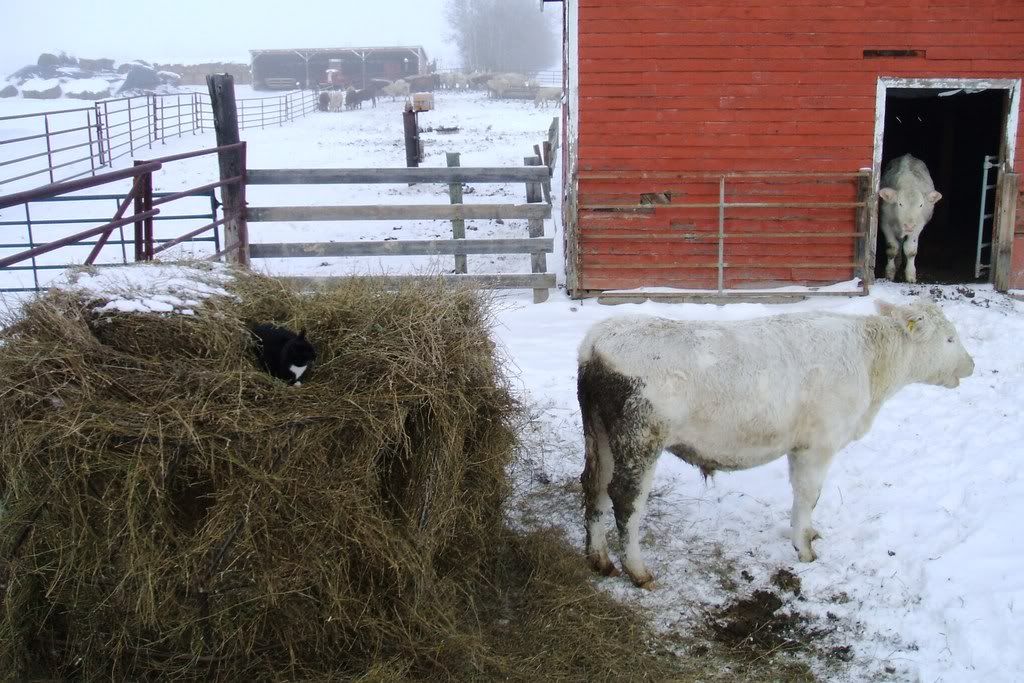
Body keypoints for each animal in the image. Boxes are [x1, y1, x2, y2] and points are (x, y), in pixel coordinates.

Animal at [581, 301, 970, 589]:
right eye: (950, 339)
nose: (971, 365)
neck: (871, 366)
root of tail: (596, 343)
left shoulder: (798, 445)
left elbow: (803, 495)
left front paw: (807, 533)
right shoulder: (818, 444)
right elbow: (809, 494)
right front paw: (804, 549)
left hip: (599, 433)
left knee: (593, 485)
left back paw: (600, 559)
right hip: (640, 439)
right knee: (625, 499)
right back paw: (637, 571)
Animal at [880, 153, 942, 282]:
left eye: (921, 205)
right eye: (900, 204)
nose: (909, 225)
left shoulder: (918, 226)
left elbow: (911, 250)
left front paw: (910, 275)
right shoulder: (885, 223)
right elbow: (892, 248)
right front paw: (889, 273)